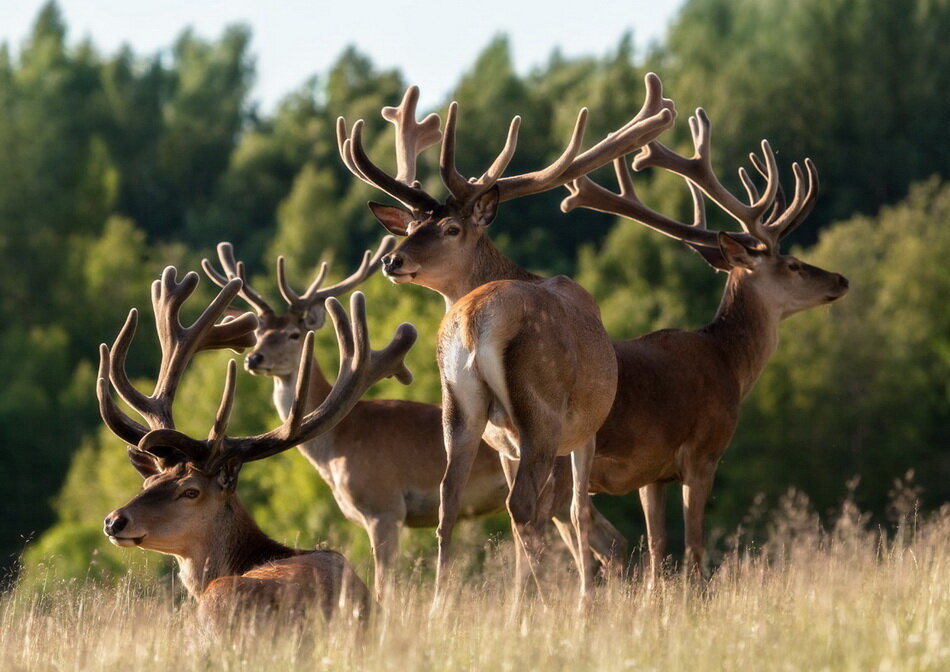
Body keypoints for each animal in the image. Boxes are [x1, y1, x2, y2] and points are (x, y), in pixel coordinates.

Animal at [336, 76, 676, 600]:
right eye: (412, 225)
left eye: (449, 227)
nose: (392, 260)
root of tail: (475, 320)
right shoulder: (585, 429)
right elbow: (577, 512)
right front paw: (584, 599)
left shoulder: (504, 444)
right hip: (541, 410)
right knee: (525, 509)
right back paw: (540, 603)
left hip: (460, 405)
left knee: (450, 501)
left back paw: (442, 604)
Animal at [556, 107, 856, 580]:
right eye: (792, 264)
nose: (840, 280)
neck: (729, 364)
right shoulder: (703, 451)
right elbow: (694, 547)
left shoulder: (652, 472)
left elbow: (658, 547)